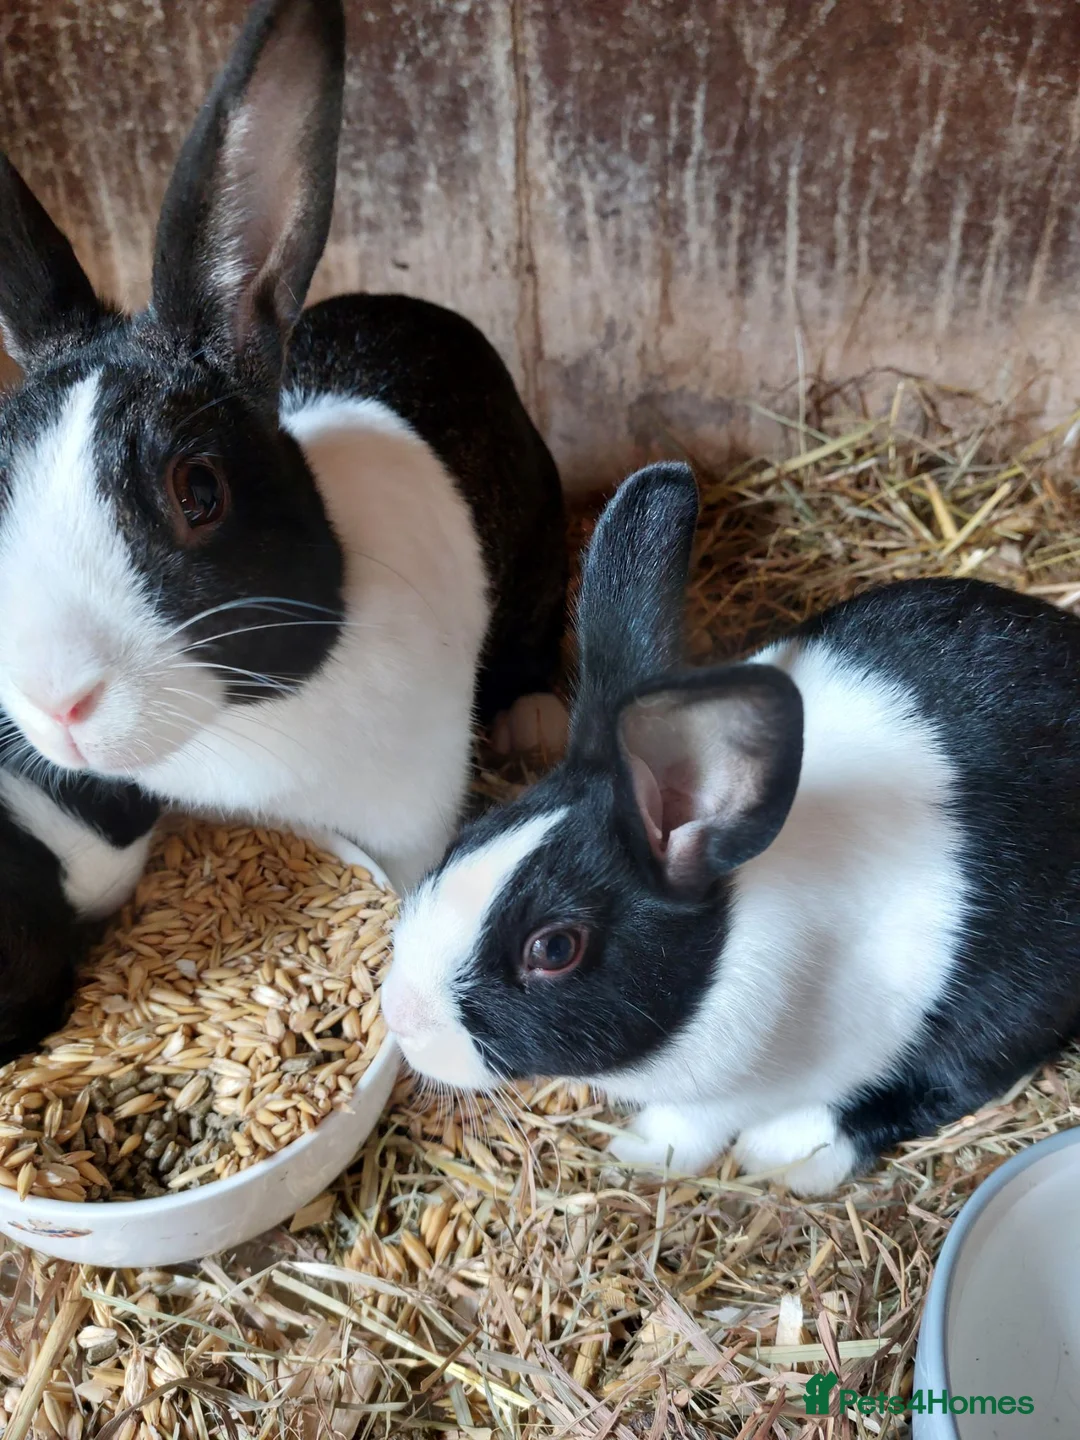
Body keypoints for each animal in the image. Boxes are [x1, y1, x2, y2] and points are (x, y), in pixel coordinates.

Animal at [382, 459, 1080, 1196]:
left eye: (554, 949)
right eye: (470, 836)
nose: (400, 1015)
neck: (728, 932)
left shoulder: (736, 1090)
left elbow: (694, 1124)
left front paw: (643, 1155)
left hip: (1010, 999)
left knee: (950, 1081)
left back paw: (791, 1151)